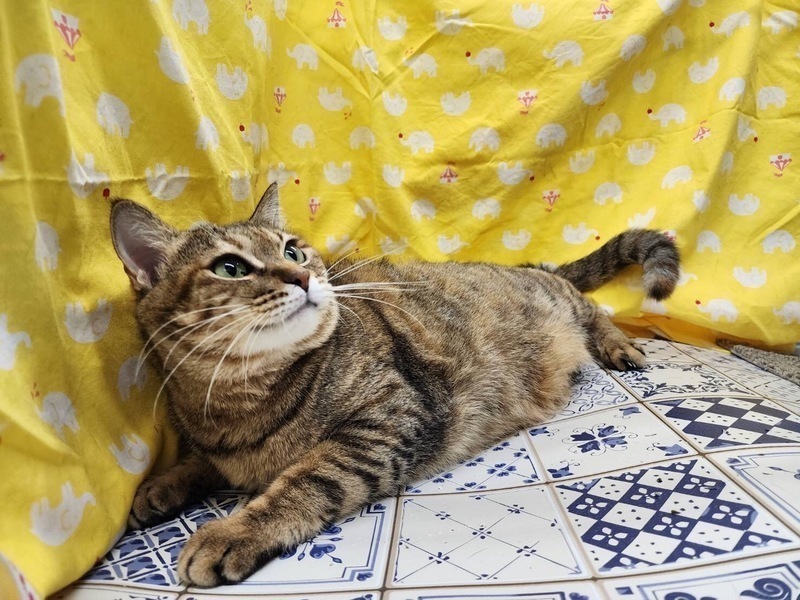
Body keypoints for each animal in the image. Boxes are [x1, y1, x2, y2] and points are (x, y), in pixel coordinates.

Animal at [110, 183, 679, 587]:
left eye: (293, 252)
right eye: (230, 268)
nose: (302, 277)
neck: (242, 406)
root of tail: (529, 265)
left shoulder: (390, 419)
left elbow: (307, 480)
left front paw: (234, 531)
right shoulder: (223, 447)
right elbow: (201, 464)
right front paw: (162, 484)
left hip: (560, 302)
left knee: (596, 310)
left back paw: (619, 346)